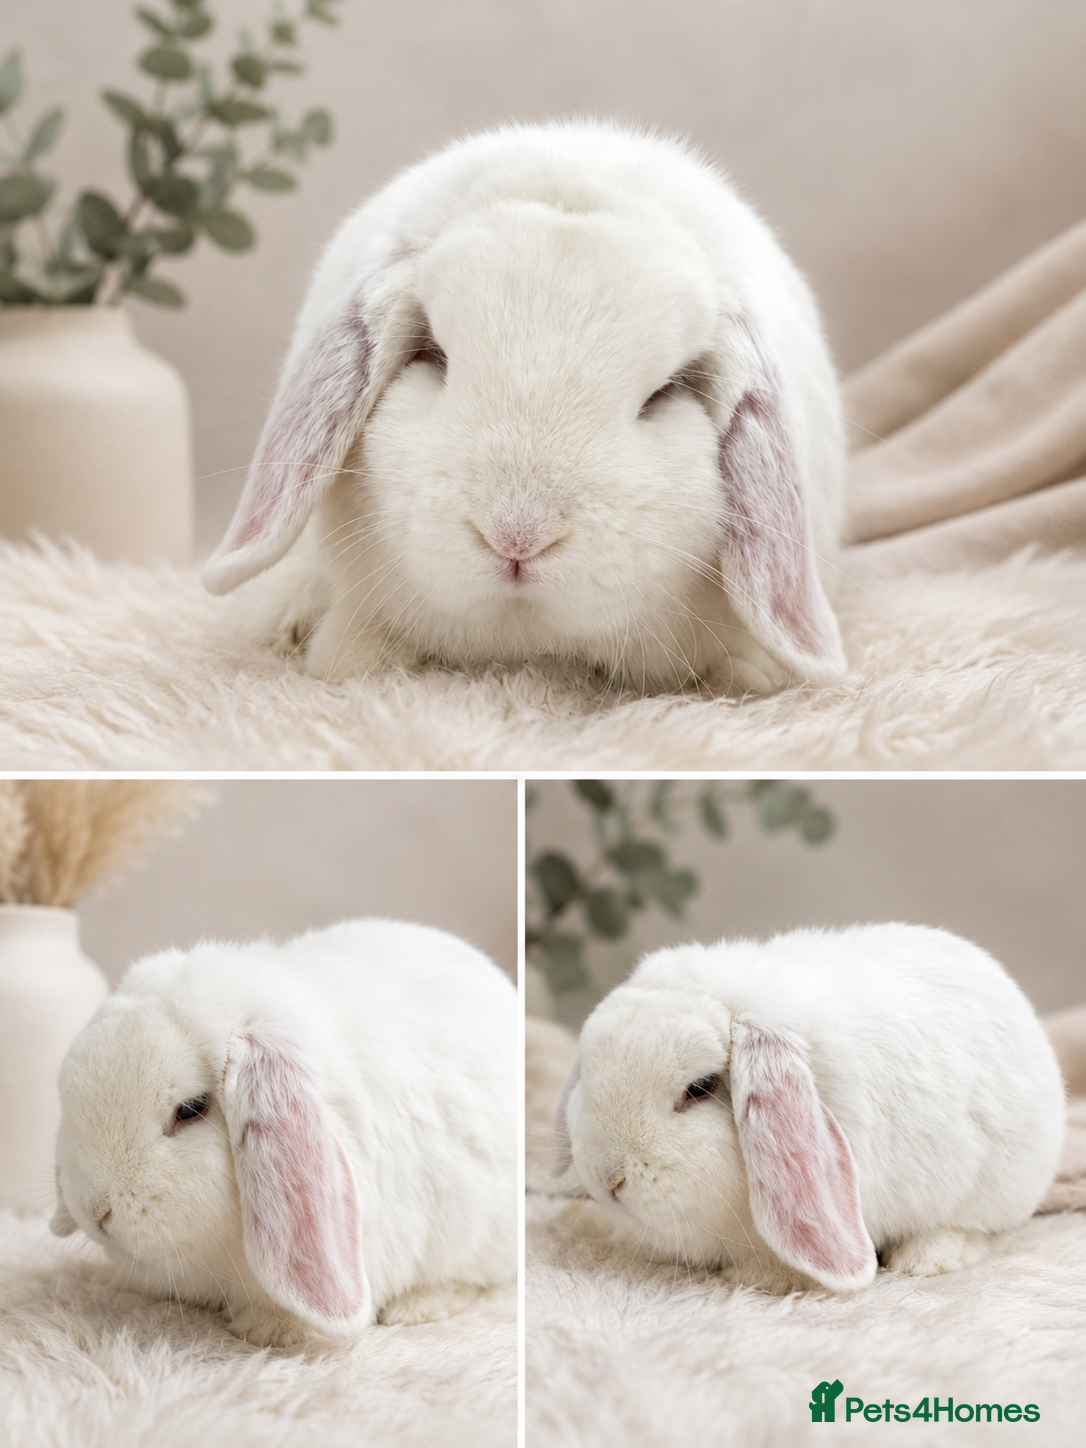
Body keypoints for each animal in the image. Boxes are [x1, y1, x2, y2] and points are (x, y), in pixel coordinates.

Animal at [550, 923, 1065, 1293]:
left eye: (699, 1087)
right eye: (589, 1070)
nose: (608, 1177)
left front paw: (764, 1280)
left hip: (992, 1189)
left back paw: (927, 1258)